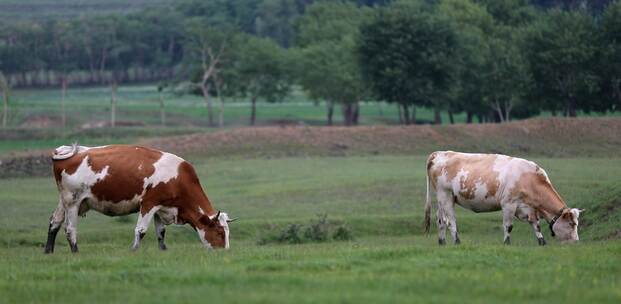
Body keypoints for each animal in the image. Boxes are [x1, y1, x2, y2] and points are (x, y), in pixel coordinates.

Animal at [43, 144, 232, 253]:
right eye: (220, 232)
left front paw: (163, 250)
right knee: (70, 228)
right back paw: (75, 250)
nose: (225, 251)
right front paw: (134, 250)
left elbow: (161, 232)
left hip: (65, 201)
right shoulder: (149, 203)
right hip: (73, 202)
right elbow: (141, 230)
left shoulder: (161, 207)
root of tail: (64, 150)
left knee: (54, 221)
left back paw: (48, 251)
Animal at [422, 151, 580, 246]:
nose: (576, 241)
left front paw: (542, 242)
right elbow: (508, 226)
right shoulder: (509, 204)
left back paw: (442, 242)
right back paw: (457, 241)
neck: (529, 178)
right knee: (451, 221)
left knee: (441, 220)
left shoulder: (529, 208)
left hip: (442, 199)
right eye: (572, 223)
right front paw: (507, 243)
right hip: (446, 195)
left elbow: (536, 225)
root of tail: (439, 153)